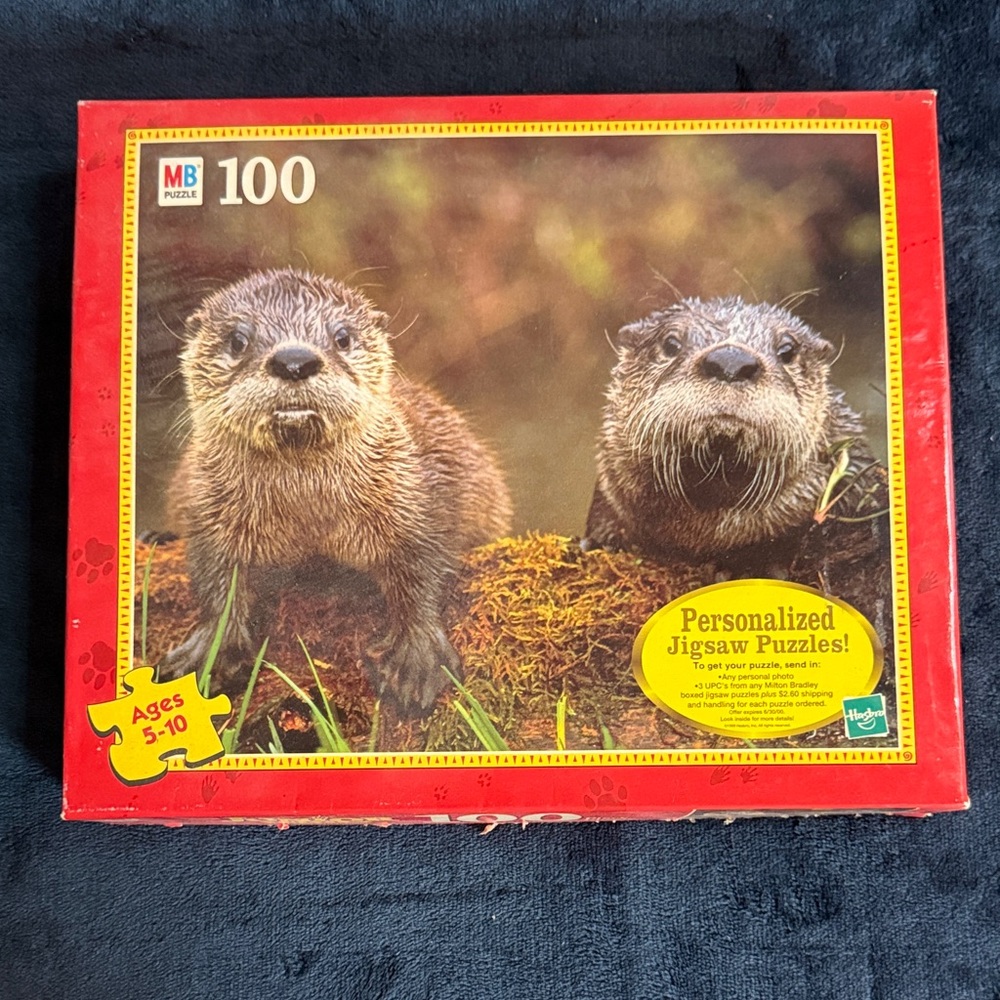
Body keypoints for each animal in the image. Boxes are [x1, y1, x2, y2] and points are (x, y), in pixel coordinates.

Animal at [157, 268, 512, 712]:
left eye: (342, 337)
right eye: (238, 340)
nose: (294, 360)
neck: (309, 510)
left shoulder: (417, 497)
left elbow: (425, 568)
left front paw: (416, 659)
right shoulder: (208, 508)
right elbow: (214, 576)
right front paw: (211, 651)